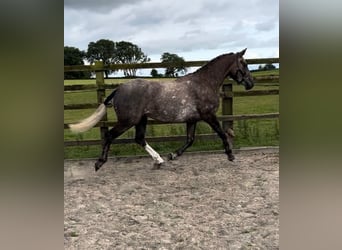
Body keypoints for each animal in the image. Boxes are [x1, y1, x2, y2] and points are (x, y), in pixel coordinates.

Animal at [69, 47, 254, 171]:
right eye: (244, 64)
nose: (251, 83)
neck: (204, 83)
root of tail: (119, 89)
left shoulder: (192, 119)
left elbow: (190, 140)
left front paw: (172, 155)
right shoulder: (208, 115)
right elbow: (222, 133)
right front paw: (230, 155)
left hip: (141, 120)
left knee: (139, 139)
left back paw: (159, 160)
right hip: (128, 120)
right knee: (110, 135)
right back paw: (99, 163)